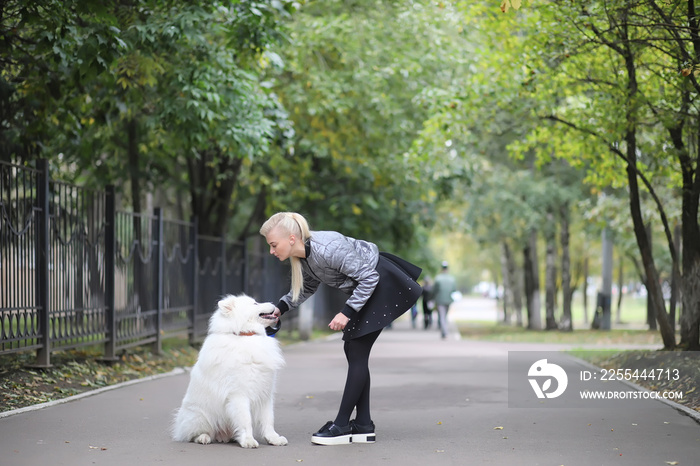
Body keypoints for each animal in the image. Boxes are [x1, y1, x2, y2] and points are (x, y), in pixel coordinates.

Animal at [172, 294, 288, 448]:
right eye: (255, 303)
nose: (274, 303)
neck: (245, 335)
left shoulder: (265, 393)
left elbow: (268, 419)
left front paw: (273, 438)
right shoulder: (238, 394)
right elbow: (246, 420)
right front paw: (248, 441)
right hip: (201, 415)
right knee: (194, 434)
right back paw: (203, 437)